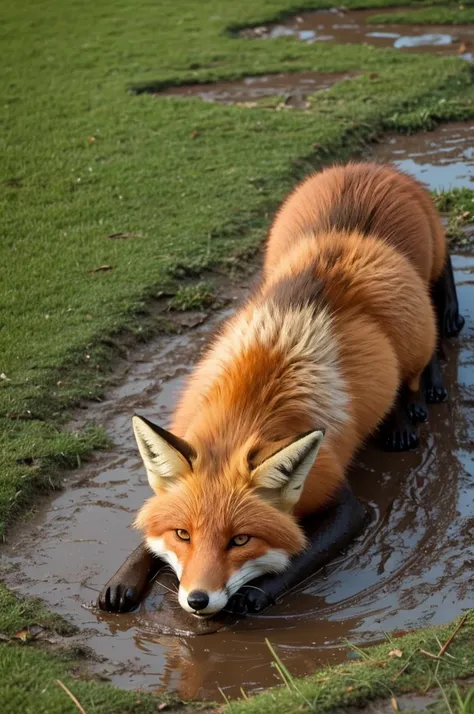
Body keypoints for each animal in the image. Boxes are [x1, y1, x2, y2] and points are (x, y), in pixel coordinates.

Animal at [99, 161, 462, 616]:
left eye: (240, 540)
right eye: (183, 535)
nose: (198, 600)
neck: (246, 409)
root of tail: (367, 167)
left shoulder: (342, 501)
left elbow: (299, 554)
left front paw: (254, 593)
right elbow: (147, 534)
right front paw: (125, 576)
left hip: (415, 320)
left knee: (436, 306)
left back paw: (413, 403)